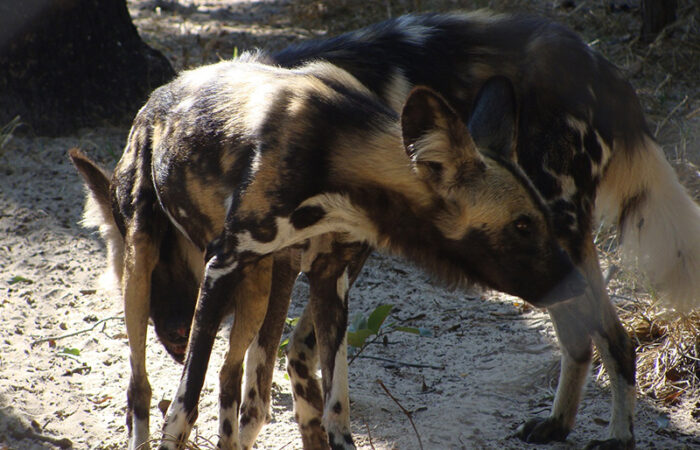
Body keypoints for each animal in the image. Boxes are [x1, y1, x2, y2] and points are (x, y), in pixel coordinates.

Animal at [71, 53, 584, 450]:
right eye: (522, 225)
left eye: (544, 218)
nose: (575, 282)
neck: (342, 161)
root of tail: (159, 94)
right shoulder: (222, 266)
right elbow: (182, 407)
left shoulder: (329, 280)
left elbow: (335, 409)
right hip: (144, 269)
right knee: (141, 387)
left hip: (258, 289)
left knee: (235, 387)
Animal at [230, 9, 700, 450]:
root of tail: (593, 59)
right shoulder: (277, 261)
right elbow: (268, 367)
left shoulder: (342, 253)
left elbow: (294, 358)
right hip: (544, 259)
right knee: (578, 340)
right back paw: (558, 423)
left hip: (557, 234)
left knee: (616, 340)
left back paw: (620, 435)